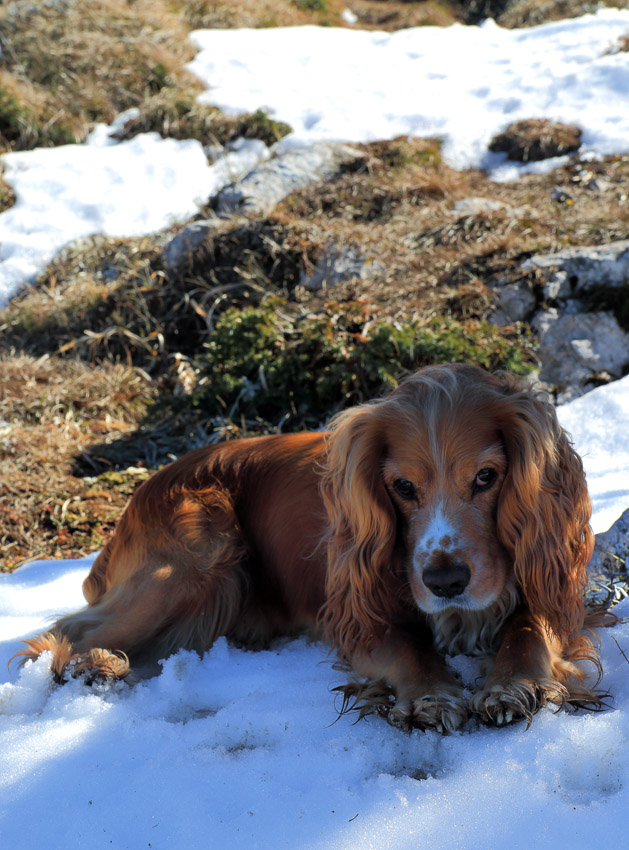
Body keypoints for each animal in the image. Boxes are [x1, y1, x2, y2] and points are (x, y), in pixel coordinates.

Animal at [17, 364, 600, 728]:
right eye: (402, 487)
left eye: (486, 477)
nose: (445, 582)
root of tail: (137, 497)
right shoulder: (355, 609)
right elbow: (407, 645)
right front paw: (431, 696)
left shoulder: (549, 583)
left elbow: (530, 627)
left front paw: (513, 684)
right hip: (203, 555)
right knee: (64, 632)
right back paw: (95, 665)